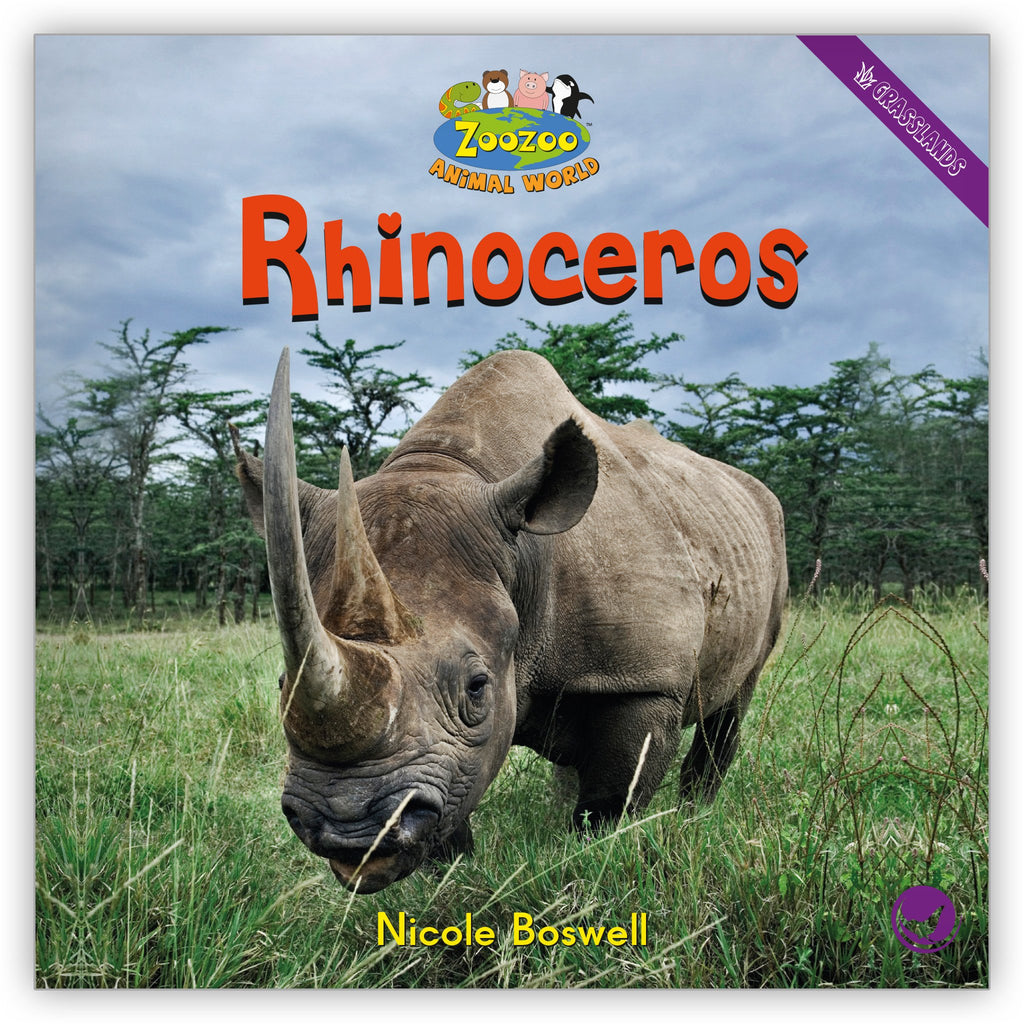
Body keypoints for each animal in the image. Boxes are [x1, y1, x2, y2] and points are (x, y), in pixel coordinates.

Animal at [233, 348, 787, 893]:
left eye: (477, 687)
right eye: (282, 684)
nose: (348, 830)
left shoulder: (645, 680)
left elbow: (611, 801)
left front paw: (592, 859)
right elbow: (457, 804)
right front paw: (454, 878)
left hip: (766, 536)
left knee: (733, 702)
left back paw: (695, 815)